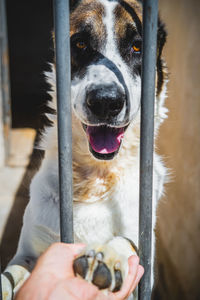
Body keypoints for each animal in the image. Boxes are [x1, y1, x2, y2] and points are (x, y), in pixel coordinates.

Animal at [1, 0, 167, 298]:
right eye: (80, 43)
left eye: (137, 47)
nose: (106, 101)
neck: (95, 177)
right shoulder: (29, 253)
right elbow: (13, 273)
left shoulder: (143, 252)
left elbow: (127, 241)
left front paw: (108, 257)